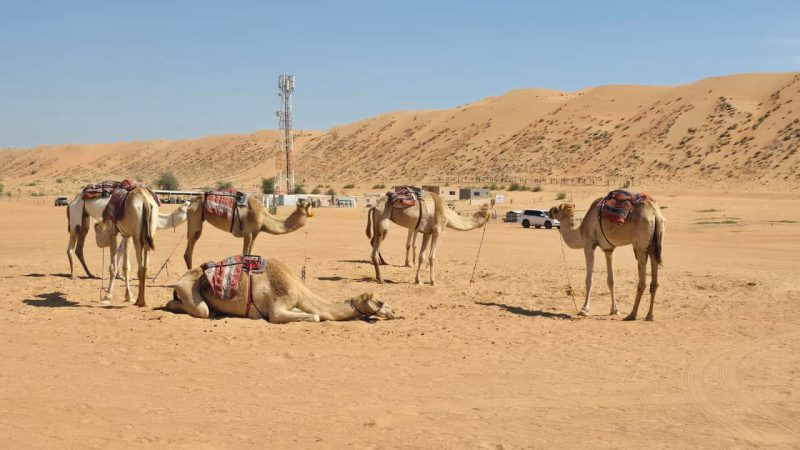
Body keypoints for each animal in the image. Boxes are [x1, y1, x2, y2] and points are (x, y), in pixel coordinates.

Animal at [167, 258, 396, 323]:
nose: (394, 312)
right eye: (380, 302)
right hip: (188, 289)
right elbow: (315, 317)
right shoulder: (277, 308)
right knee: (198, 309)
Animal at [182, 196, 313, 269]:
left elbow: (250, 254)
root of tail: (191, 202)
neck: (264, 218)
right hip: (195, 215)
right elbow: (244, 255)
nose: (308, 204)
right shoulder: (248, 233)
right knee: (190, 248)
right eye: (296, 212)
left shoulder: (255, 234)